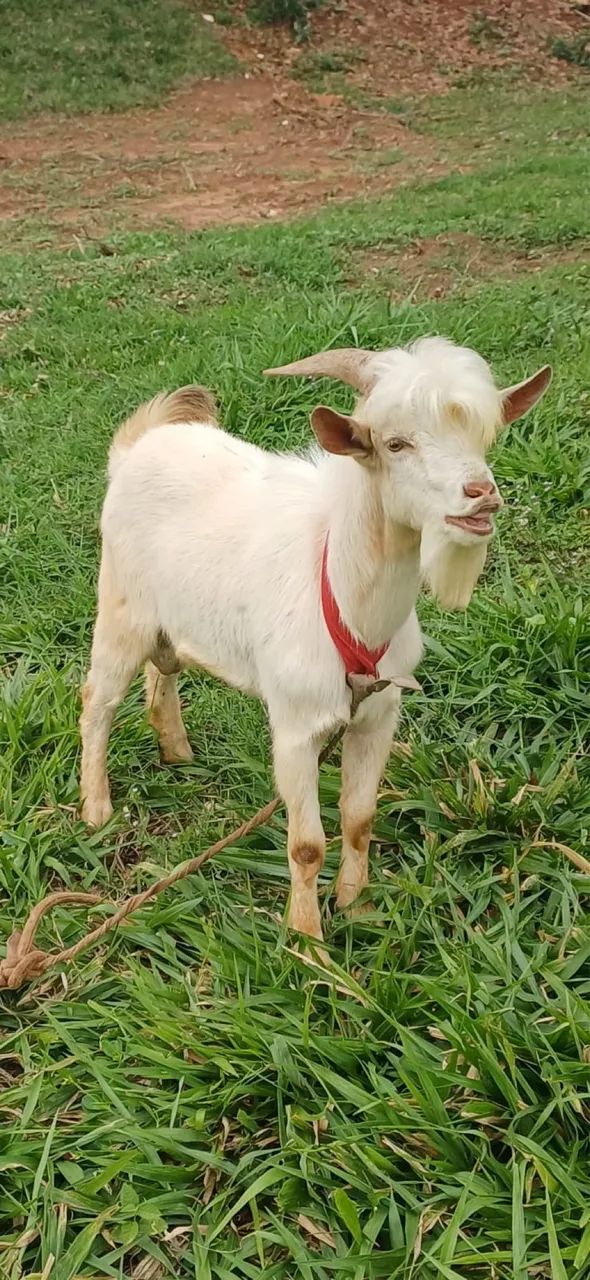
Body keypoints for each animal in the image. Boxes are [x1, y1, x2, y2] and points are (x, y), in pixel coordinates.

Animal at [80, 338, 551, 943]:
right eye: (395, 443)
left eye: (484, 436)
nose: (481, 494)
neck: (349, 601)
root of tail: (138, 446)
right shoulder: (295, 729)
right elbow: (306, 846)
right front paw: (306, 942)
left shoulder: (378, 714)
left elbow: (359, 819)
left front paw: (357, 907)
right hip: (121, 608)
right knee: (98, 700)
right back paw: (95, 809)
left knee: (163, 669)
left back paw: (178, 752)